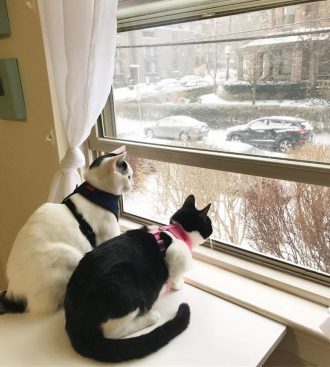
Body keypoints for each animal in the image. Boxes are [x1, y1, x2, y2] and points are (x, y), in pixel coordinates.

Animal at [1, 147, 133, 316]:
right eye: (128, 176)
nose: (132, 184)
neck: (97, 191)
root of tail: (14, 293)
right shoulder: (109, 233)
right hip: (68, 255)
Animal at [65, 194, 211, 364]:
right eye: (209, 222)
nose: (212, 230)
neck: (176, 232)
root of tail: (75, 319)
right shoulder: (176, 255)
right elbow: (176, 277)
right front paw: (179, 284)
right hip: (125, 287)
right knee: (114, 332)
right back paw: (150, 317)